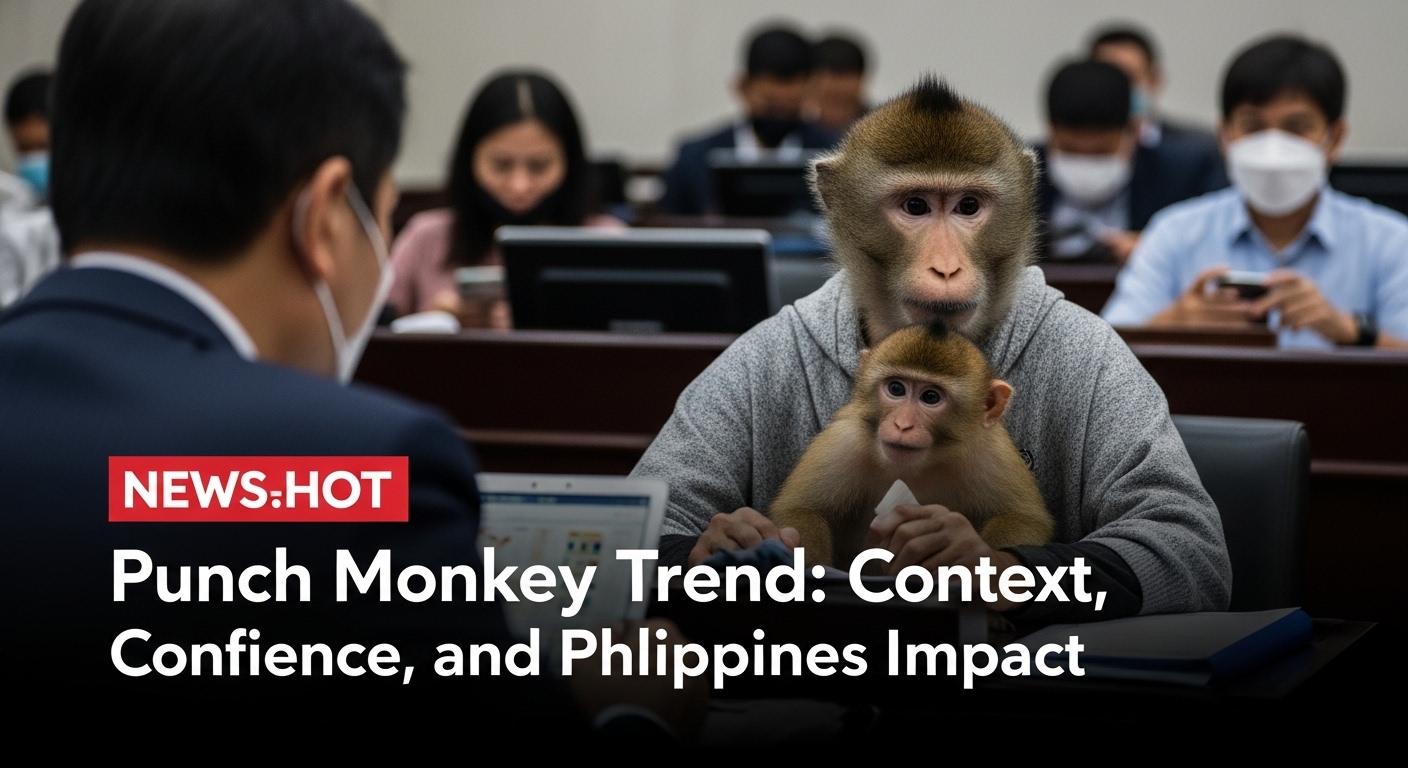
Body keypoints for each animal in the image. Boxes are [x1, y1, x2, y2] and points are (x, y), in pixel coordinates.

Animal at [768, 321, 1052, 568]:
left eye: (930, 397)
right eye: (896, 389)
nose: (902, 425)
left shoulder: (992, 454)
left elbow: (1022, 518)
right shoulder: (843, 442)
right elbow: (801, 511)